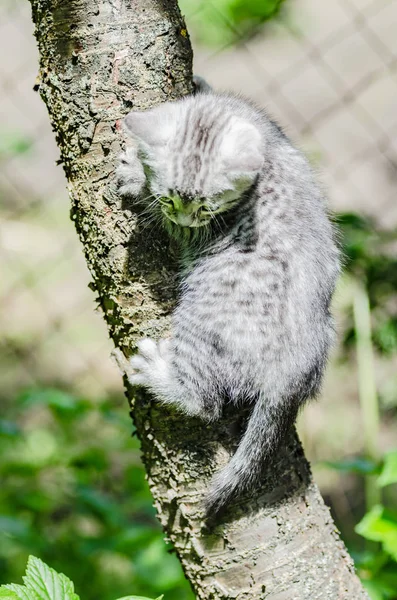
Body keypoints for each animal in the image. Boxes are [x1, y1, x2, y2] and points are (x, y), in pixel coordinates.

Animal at [115, 86, 340, 516]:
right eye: (173, 199)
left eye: (206, 205)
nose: (184, 217)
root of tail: (298, 367)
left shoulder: (201, 231)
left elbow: (169, 224)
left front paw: (134, 175)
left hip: (202, 317)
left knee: (205, 402)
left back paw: (160, 376)